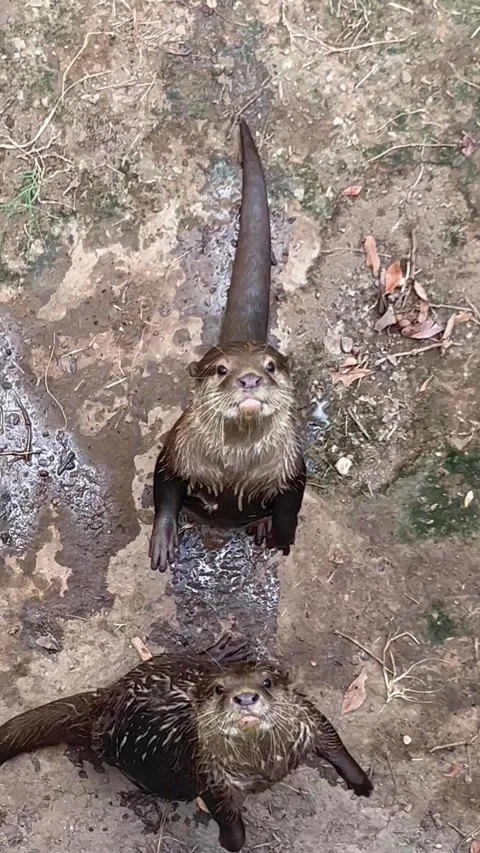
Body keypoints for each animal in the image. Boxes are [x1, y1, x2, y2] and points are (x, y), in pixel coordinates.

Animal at [0, 639, 372, 852]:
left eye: (266, 682)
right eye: (220, 690)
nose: (245, 697)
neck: (265, 764)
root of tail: (109, 698)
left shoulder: (308, 718)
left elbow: (332, 740)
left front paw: (362, 783)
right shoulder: (210, 772)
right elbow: (229, 821)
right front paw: (228, 842)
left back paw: (219, 651)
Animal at [150, 120, 306, 572]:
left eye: (270, 365)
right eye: (221, 370)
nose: (249, 378)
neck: (235, 469)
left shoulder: (292, 466)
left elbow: (291, 504)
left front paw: (281, 536)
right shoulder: (176, 450)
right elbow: (164, 487)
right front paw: (163, 541)